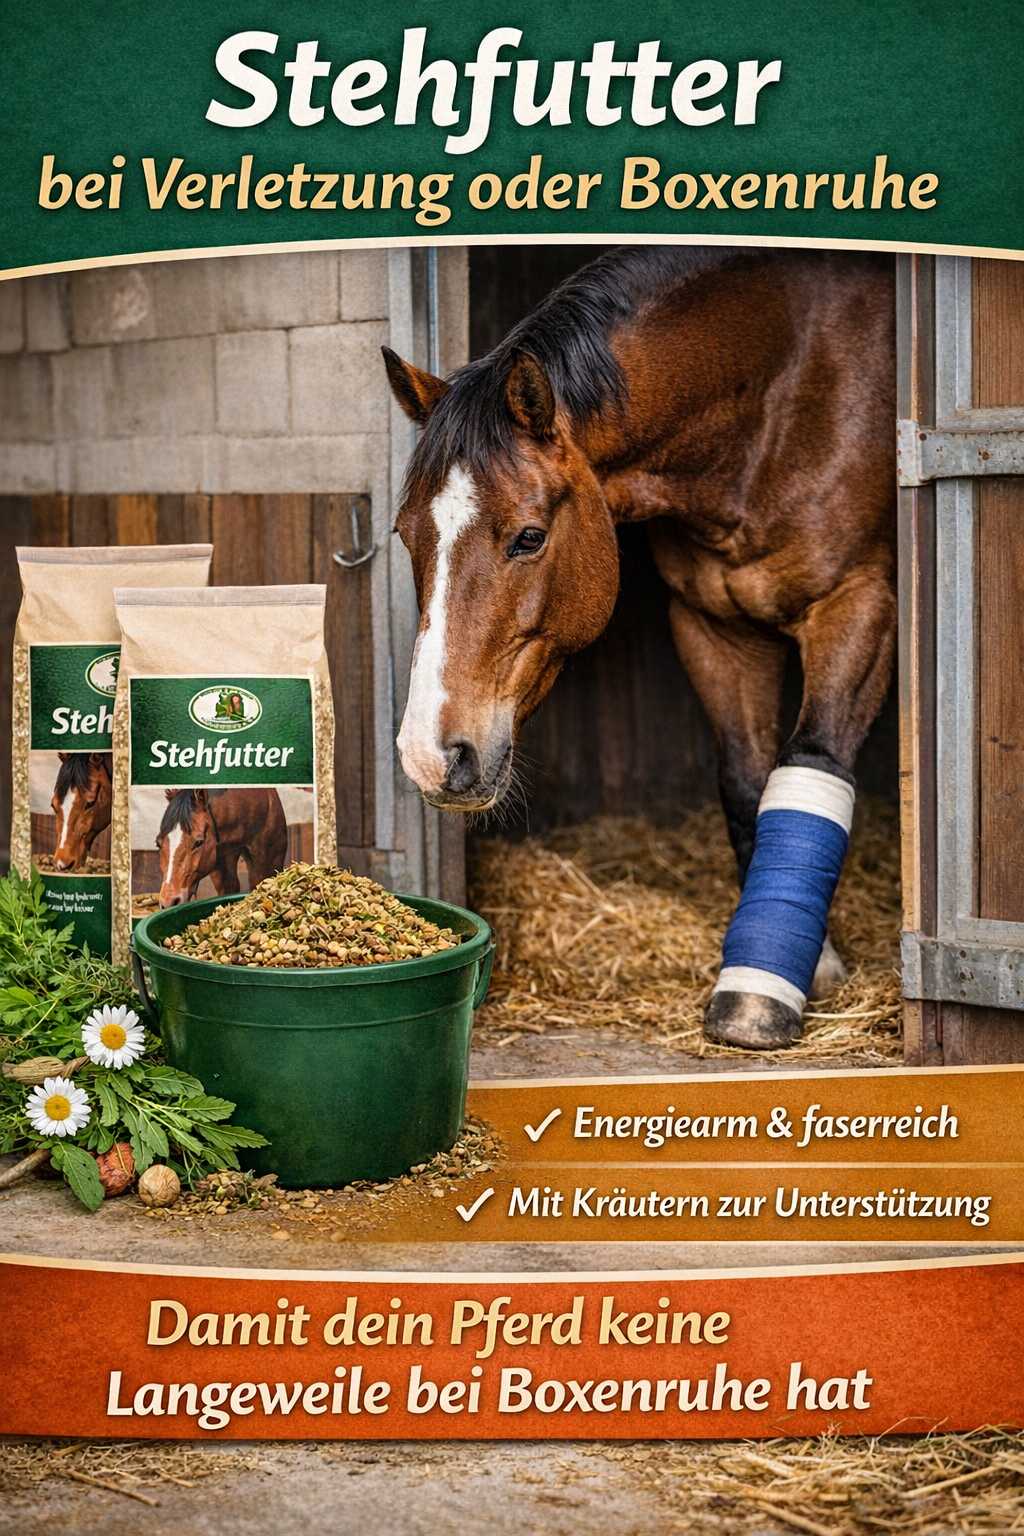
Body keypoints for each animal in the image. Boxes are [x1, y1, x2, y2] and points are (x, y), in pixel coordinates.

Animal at [382, 246, 896, 1051]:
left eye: (528, 537)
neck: (782, 395)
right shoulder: (714, 626)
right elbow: (747, 783)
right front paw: (802, 969)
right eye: (407, 536)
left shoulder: (858, 605)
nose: (431, 755)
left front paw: (763, 999)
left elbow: (811, 763)